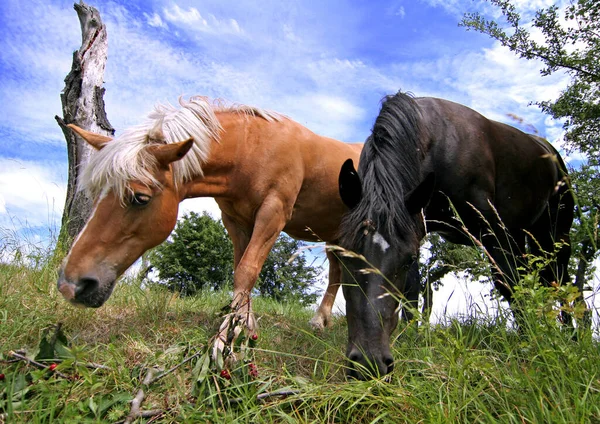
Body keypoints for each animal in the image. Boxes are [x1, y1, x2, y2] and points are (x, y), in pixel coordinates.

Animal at [336, 91, 584, 380]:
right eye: (343, 257)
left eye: (406, 260)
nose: (368, 363)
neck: (436, 145)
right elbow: (412, 292)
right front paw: (411, 342)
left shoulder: (493, 231)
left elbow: (509, 285)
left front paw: (530, 346)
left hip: (553, 235)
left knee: (563, 284)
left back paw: (572, 338)